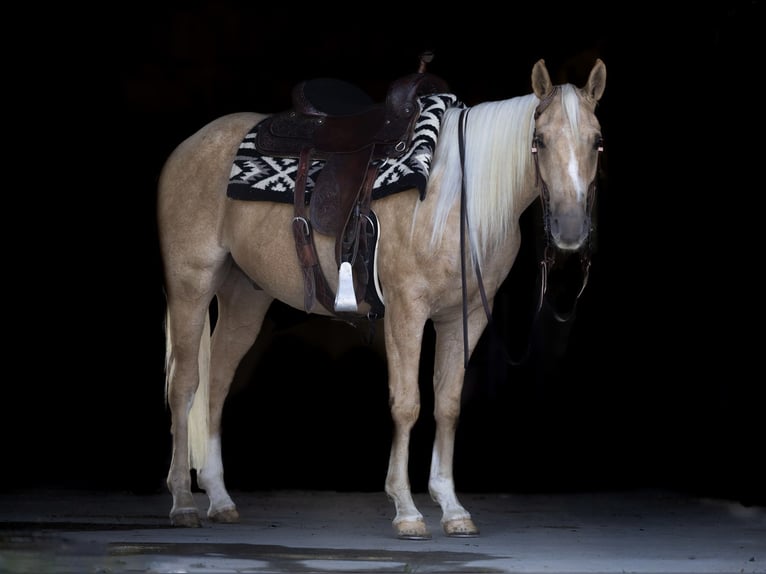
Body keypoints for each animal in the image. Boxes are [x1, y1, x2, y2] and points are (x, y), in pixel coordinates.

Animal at [157, 57, 607, 539]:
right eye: (539, 141)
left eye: (597, 142)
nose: (570, 228)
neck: (456, 198)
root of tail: (187, 147)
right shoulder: (406, 311)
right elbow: (407, 403)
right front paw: (406, 509)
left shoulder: (463, 317)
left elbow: (448, 405)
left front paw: (452, 508)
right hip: (191, 284)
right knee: (185, 384)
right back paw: (182, 502)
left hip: (244, 296)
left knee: (218, 383)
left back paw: (220, 498)